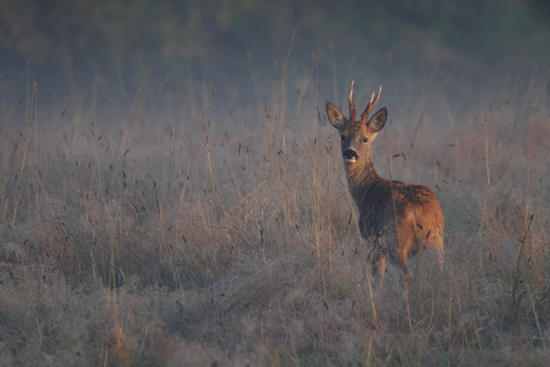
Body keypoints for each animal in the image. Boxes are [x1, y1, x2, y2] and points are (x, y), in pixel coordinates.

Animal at [328, 81, 444, 290]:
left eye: (365, 138)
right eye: (342, 136)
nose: (350, 153)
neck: (365, 190)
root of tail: (421, 210)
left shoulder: (373, 240)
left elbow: (377, 279)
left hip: (395, 240)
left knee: (405, 274)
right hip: (437, 241)